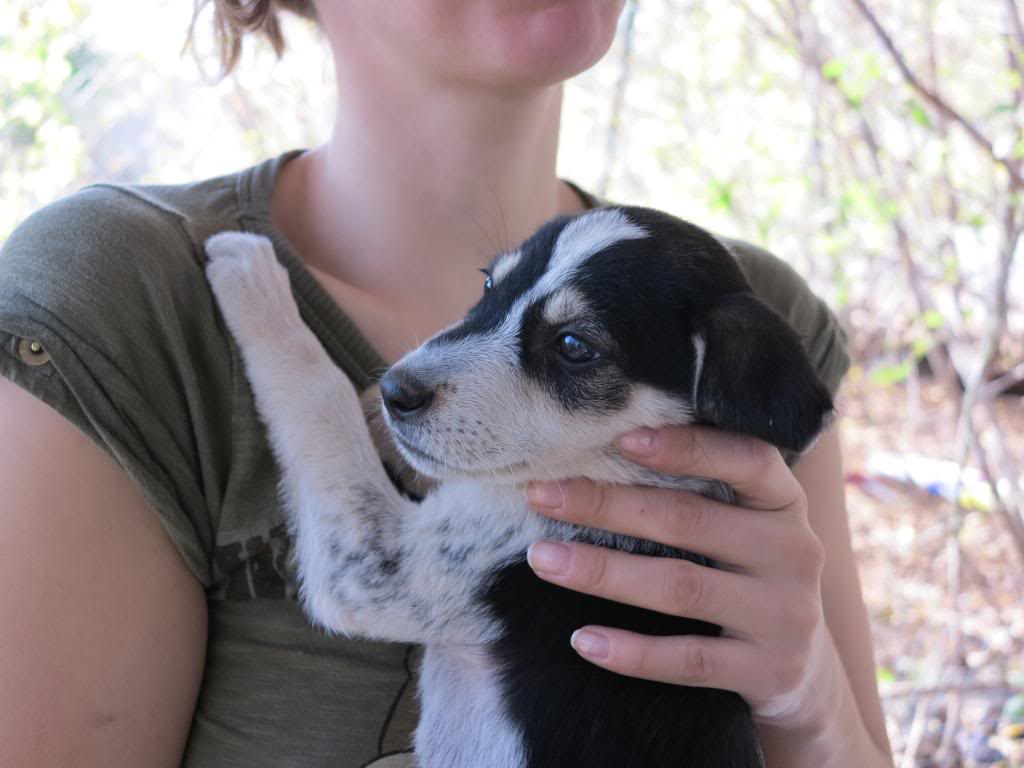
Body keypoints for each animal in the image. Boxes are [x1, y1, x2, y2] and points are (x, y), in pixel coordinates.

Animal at [205, 207, 831, 768]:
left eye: (574, 345)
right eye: (488, 285)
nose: (395, 392)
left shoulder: (378, 567)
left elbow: (319, 389)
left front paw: (249, 269)